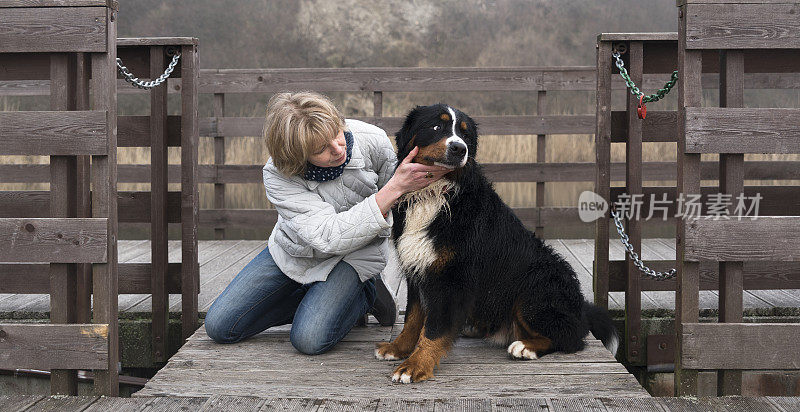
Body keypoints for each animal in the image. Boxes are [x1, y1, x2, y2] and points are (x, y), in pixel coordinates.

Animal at [376, 102, 620, 384]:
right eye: (436, 126)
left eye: (465, 134)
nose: (459, 148)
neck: (434, 193)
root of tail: (580, 307)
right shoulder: (418, 268)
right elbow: (414, 318)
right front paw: (398, 348)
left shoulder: (452, 277)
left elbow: (434, 328)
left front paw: (415, 365)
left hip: (535, 285)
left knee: (571, 337)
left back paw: (525, 347)